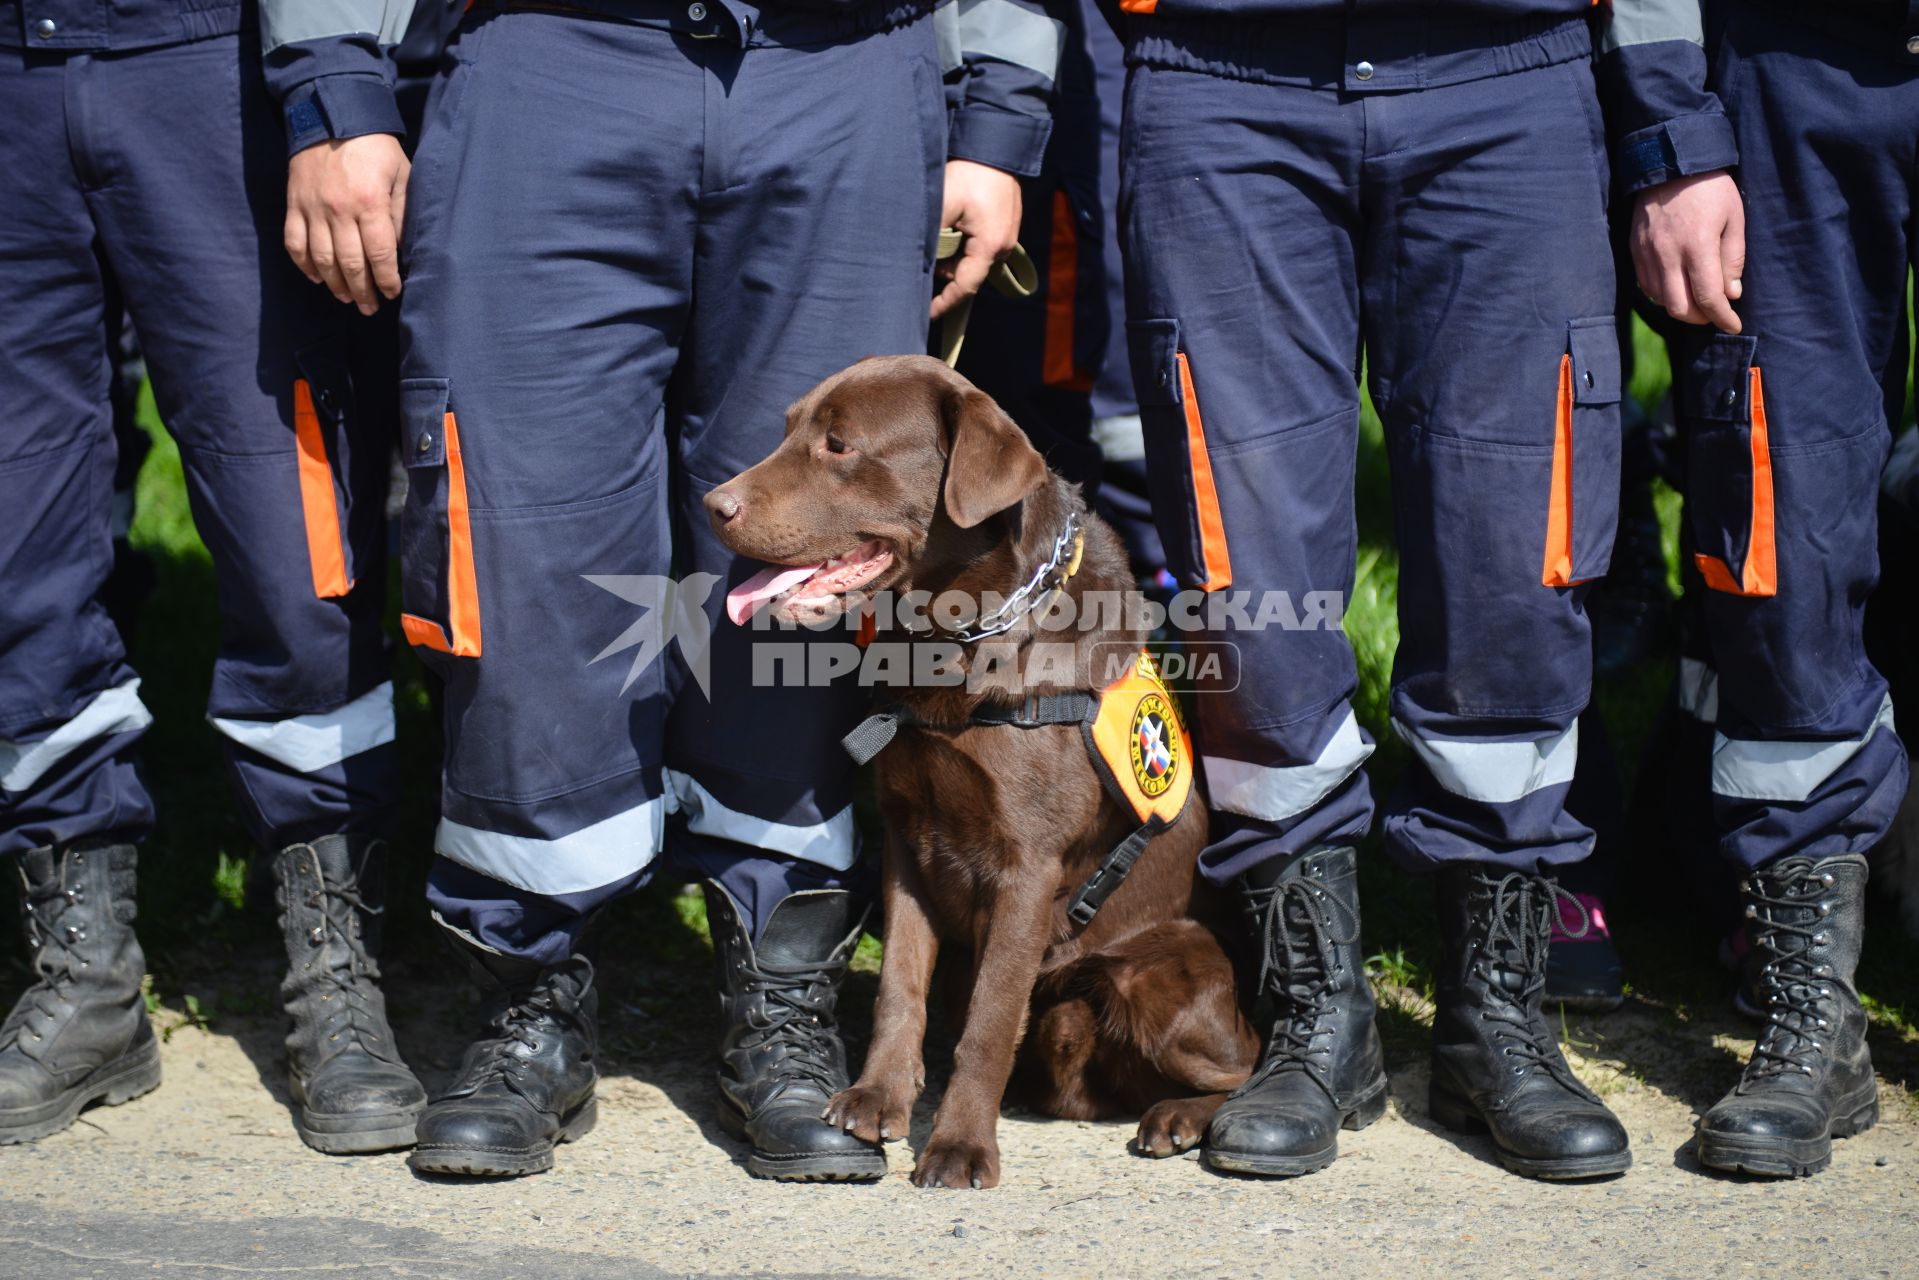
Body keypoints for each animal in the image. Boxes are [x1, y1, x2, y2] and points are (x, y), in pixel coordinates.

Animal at [706, 353, 1258, 1189]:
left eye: (840, 444)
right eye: (790, 429)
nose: (714, 506)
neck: (955, 637)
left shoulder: (1026, 868)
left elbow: (990, 1020)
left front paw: (961, 1145)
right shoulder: (906, 840)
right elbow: (901, 987)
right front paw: (876, 1099)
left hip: (1154, 973)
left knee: (1245, 1063)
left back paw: (1188, 1119)